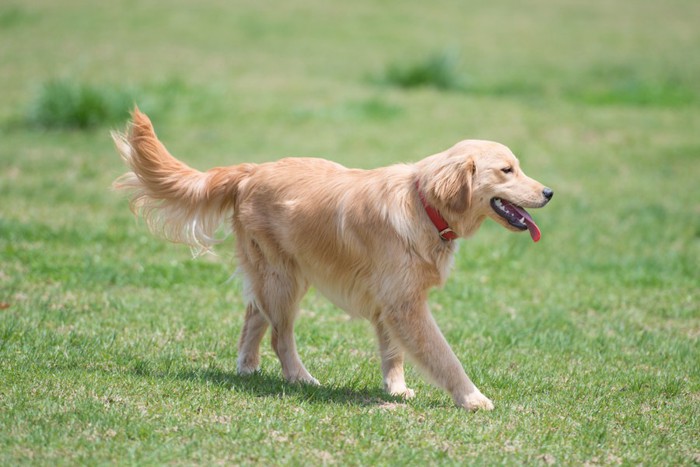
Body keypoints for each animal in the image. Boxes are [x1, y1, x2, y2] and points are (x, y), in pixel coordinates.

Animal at [113, 109, 552, 410]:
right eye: (507, 170)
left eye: (518, 167)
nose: (549, 192)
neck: (423, 204)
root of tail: (250, 170)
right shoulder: (406, 304)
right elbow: (444, 356)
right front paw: (472, 397)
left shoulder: (390, 302)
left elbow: (392, 352)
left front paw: (395, 389)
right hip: (285, 279)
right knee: (279, 336)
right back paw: (300, 377)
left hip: (277, 274)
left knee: (253, 316)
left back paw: (247, 367)